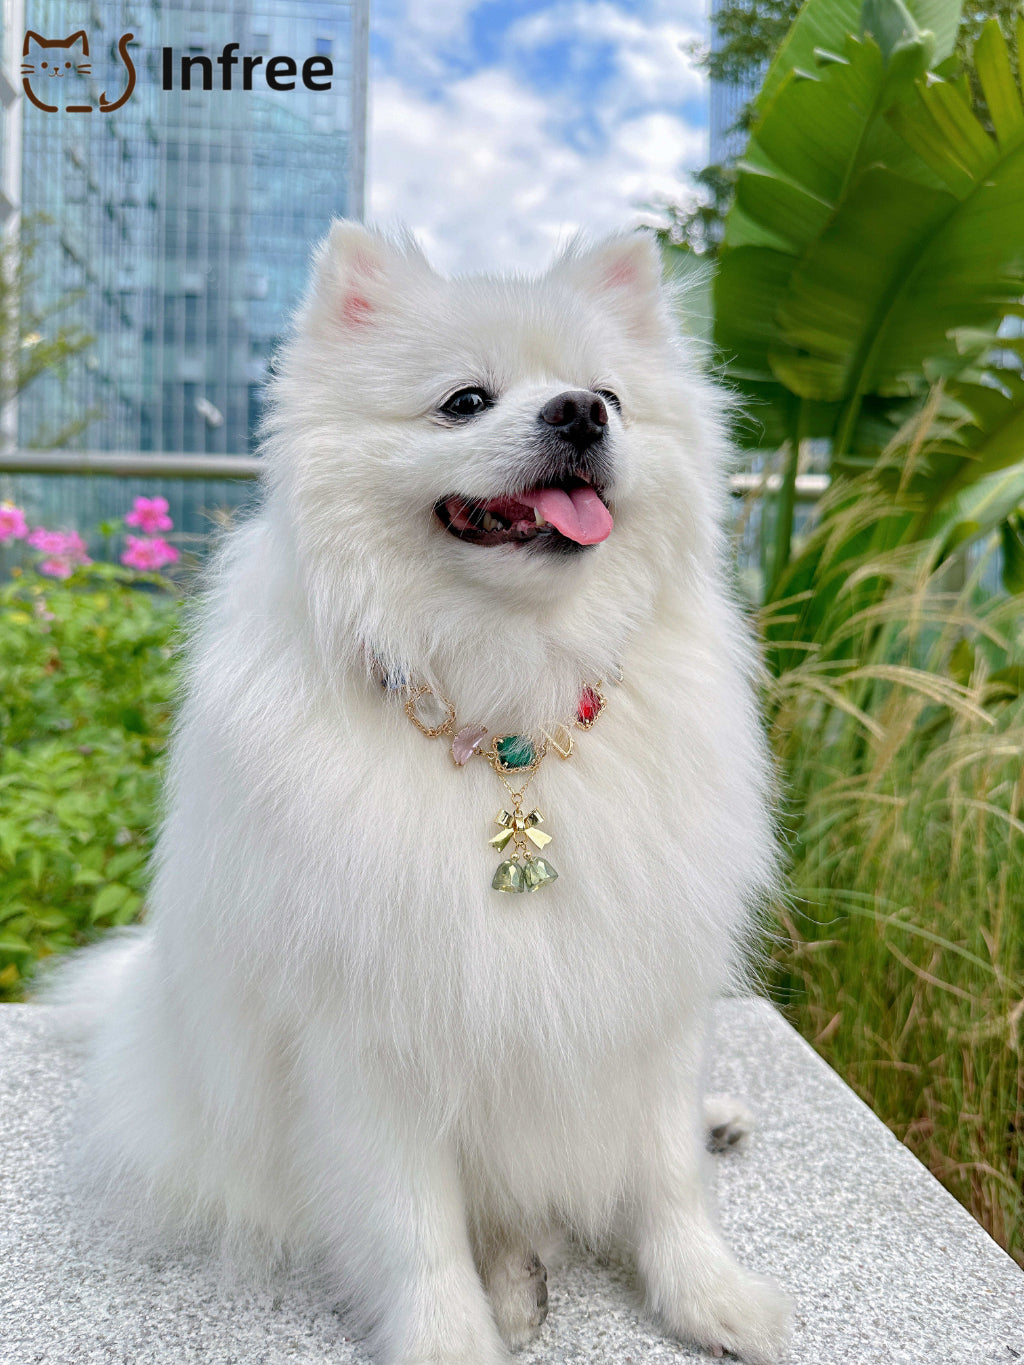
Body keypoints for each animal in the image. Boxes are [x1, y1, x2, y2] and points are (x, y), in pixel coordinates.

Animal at [50, 226, 791, 1365]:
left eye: (612, 397)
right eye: (463, 401)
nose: (579, 412)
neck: (509, 705)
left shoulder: (647, 988)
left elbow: (667, 1174)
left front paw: (710, 1294)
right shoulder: (370, 1034)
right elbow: (414, 1227)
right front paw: (454, 1333)